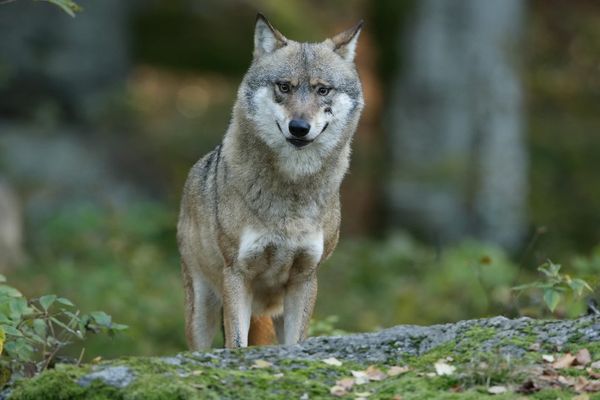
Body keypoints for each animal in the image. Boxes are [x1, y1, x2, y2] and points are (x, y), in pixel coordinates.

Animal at [177, 14, 366, 348]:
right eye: (284, 87)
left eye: (323, 90)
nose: (299, 127)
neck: (292, 191)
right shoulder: (237, 274)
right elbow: (236, 344)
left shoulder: (306, 278)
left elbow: (296, 343)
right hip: (202, 309)